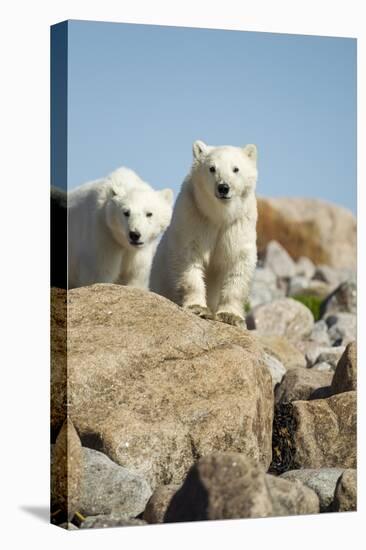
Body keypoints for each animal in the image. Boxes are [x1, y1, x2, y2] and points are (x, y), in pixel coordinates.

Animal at [149, 140, 258, 328]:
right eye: (212, 168)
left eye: (236, 169)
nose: (223, 187)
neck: (219, 215)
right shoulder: (195, 215)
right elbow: (189, 259)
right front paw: (197, 307)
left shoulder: (239, 223)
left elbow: (238, 262)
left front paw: (231, 316)